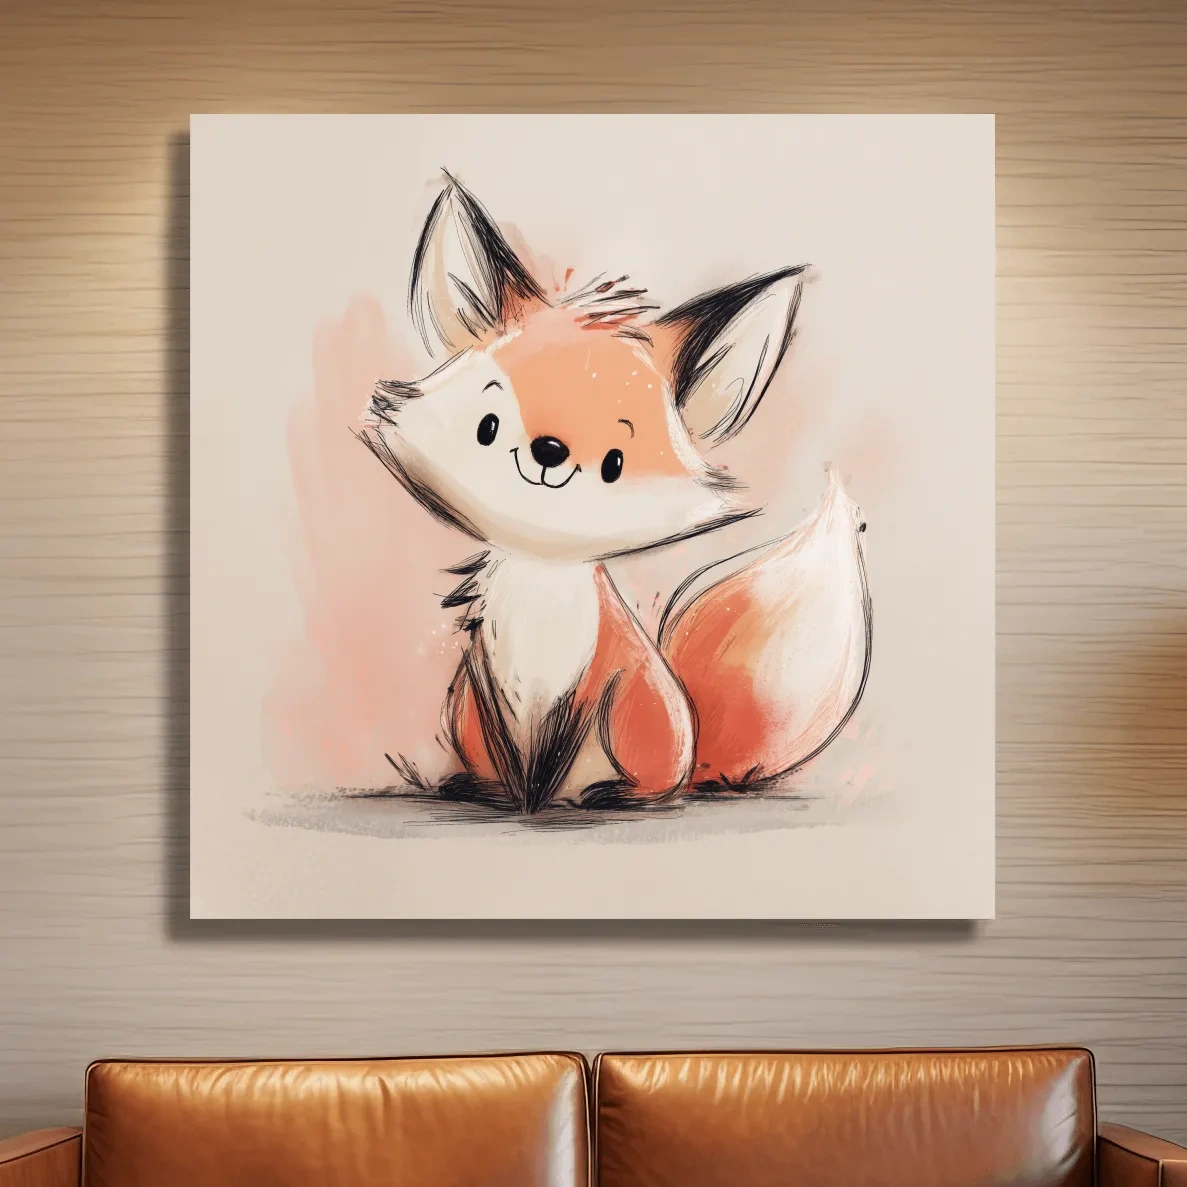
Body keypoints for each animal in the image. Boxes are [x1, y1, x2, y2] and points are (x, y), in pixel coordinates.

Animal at [359, 173, 871, 813]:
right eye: (488, 426)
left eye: (615, 463)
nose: (549, 451)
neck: (542, 588)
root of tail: (697, 762)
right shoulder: (483, 684)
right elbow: (517, 756)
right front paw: (519, 797)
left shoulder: (601, 679)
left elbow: (556, 749)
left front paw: (543, 798)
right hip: (466, 715)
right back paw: (482, 787)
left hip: (641, 721)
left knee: (649, 783)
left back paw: (609, 794)